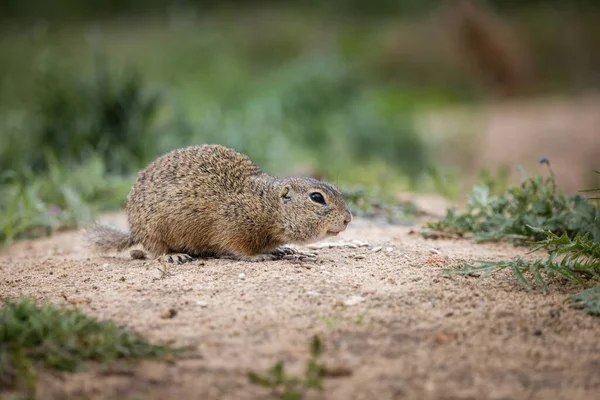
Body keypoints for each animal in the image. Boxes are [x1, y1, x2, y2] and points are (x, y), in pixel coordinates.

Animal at [82, 144, 350, 262]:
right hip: (155, 231)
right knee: (155, 251)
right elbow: (241, 248)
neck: (265, 205)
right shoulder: (233, 228)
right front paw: (258, 256)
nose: (348, 219)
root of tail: (133, 231)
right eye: (317, 198)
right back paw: (174, 256)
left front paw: (280, 249)